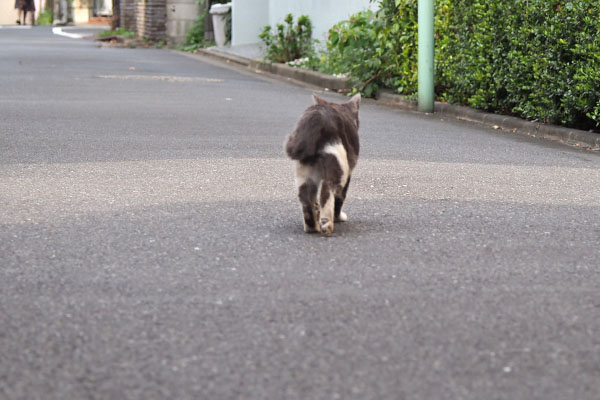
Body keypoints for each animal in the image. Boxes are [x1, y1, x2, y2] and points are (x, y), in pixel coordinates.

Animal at [284, 94, 358, 236]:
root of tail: (317, 116)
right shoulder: (348, 173)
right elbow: (340, 197)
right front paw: (339, 218)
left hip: (304, 170)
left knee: (306, 199)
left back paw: (313, 227)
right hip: (339, 165)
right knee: (327, 191)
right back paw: (327, 224)